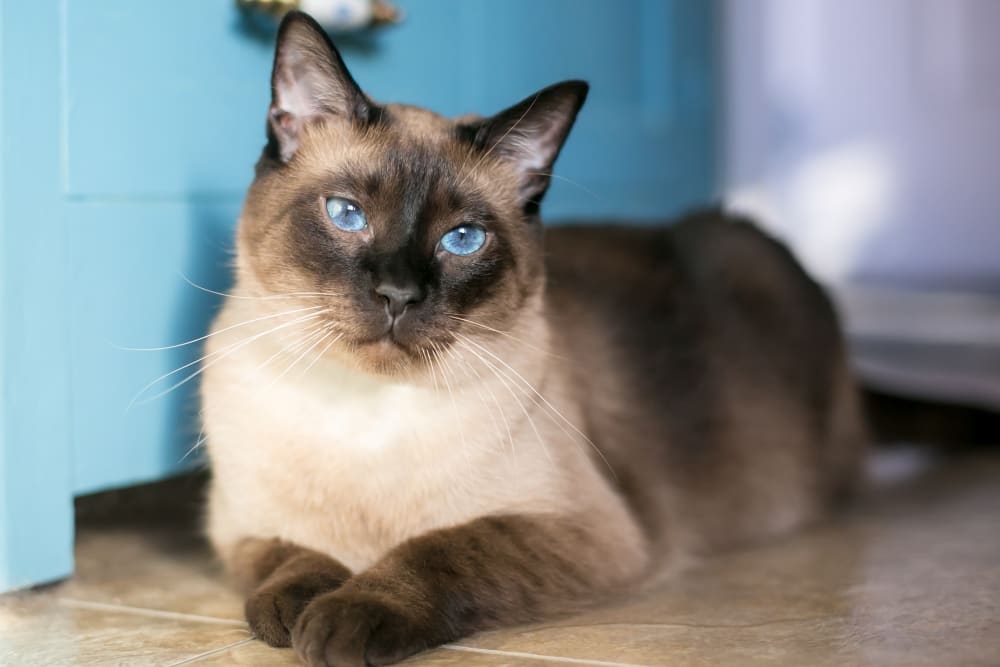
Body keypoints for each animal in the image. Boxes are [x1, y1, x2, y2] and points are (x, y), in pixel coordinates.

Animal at [201, 11, 868, 667]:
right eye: (346, 214)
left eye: (463, 239)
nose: (398, 294)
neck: (366, 419)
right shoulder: (237, 528)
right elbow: (290, 556)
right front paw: (291, 610)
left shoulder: (585, 531)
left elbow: (440, 549)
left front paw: (345, 618)